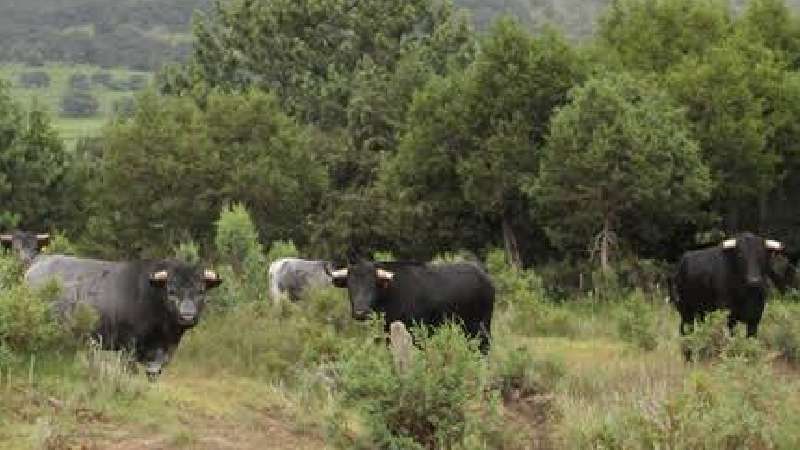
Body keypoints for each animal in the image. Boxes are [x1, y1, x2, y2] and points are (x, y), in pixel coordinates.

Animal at [326, 258, 494, 354]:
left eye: (372, 284)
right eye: (350, 285)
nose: (360, 312)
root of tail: (484, 276)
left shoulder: (417, 331)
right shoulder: (389, 332)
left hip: (480, 325)